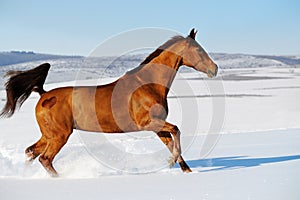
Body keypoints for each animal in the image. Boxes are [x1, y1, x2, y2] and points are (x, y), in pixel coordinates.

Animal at [0, 28, 218, 177]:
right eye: (198, 50)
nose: (214, 69)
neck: (148, 85)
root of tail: (43, 95)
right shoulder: (148, 124)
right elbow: (176, 130)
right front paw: (172, 162)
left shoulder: (157, 127)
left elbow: (172, 141)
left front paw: (184, 169)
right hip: (59, 135)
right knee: (44, 159)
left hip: (49, 135)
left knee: (31, 152)